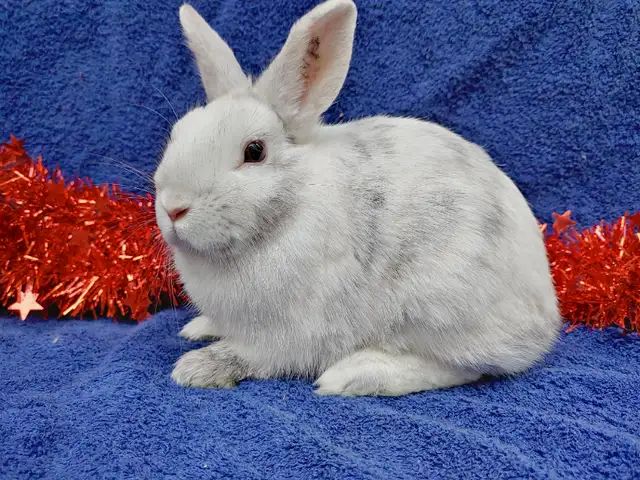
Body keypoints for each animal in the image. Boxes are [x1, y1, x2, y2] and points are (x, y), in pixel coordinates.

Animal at [153, 0, 561, 396]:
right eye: (178, 133)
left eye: (254, 151)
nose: (173, 208)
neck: (286, 210)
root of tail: (546, 314)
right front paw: (198, 327)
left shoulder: (284, 336)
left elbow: (249, 355)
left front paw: (197, 367)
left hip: (441, 305)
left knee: (464, 367)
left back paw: (354, 375)